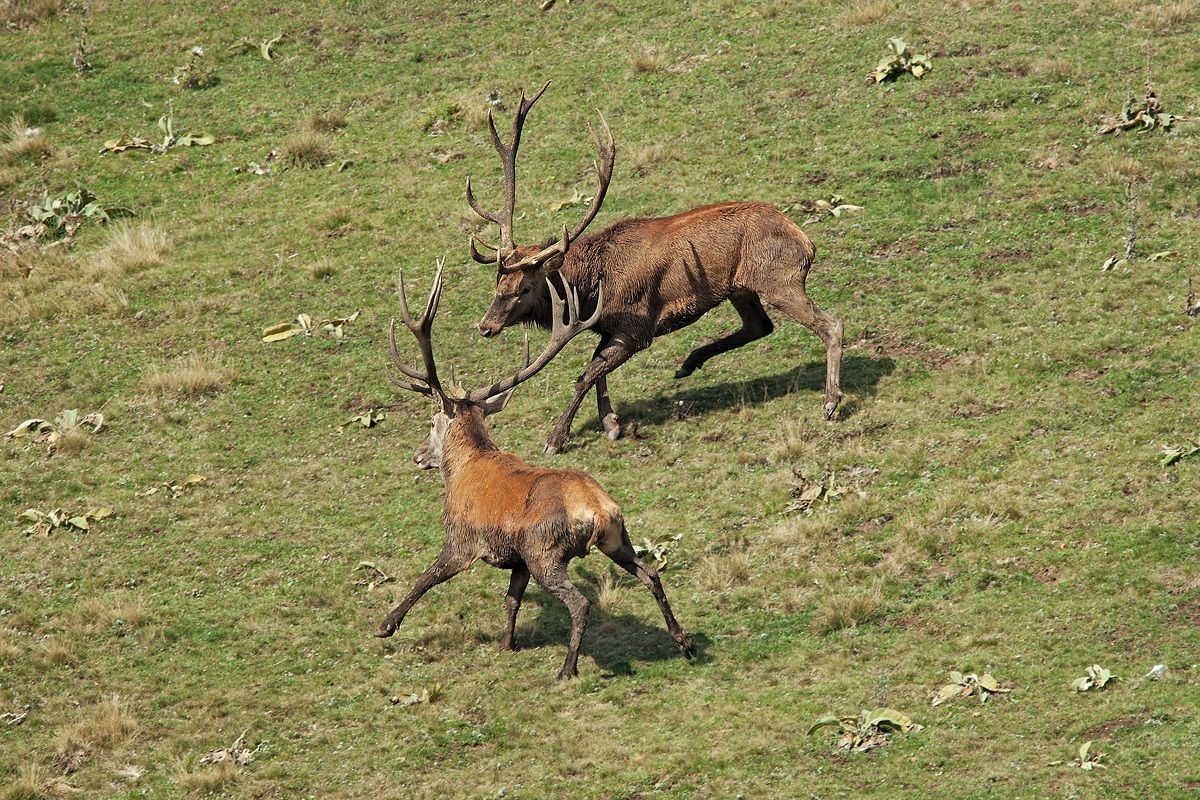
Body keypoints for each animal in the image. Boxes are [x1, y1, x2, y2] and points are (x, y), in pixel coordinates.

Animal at [374, 257, 696, 680]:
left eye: (432, 423)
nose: (417, 456)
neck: (464, 467)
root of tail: (600, 511)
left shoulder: (463, 540)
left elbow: (426, 577)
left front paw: (385, 625)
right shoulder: (517, 559)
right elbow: (511, 600)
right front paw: (506, 643)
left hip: (546, 552)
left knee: (581, 603)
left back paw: (567, 670)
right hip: (616, 539)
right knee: (651, 573)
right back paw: (684, 641)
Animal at [465, 82, 845, 455]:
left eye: (524, 288)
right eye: (497, 284)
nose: (485, 326)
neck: (590, 291)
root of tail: (806, 240)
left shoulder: (637, 328)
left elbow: (587, 374)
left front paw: (556, 439)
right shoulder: (608, 328)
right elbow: (598, 369)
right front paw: (610, 423)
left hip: (779, 279)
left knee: (830, 324)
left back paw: (830, 402)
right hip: (741, 288)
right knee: (760, 325)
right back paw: (689, 363)